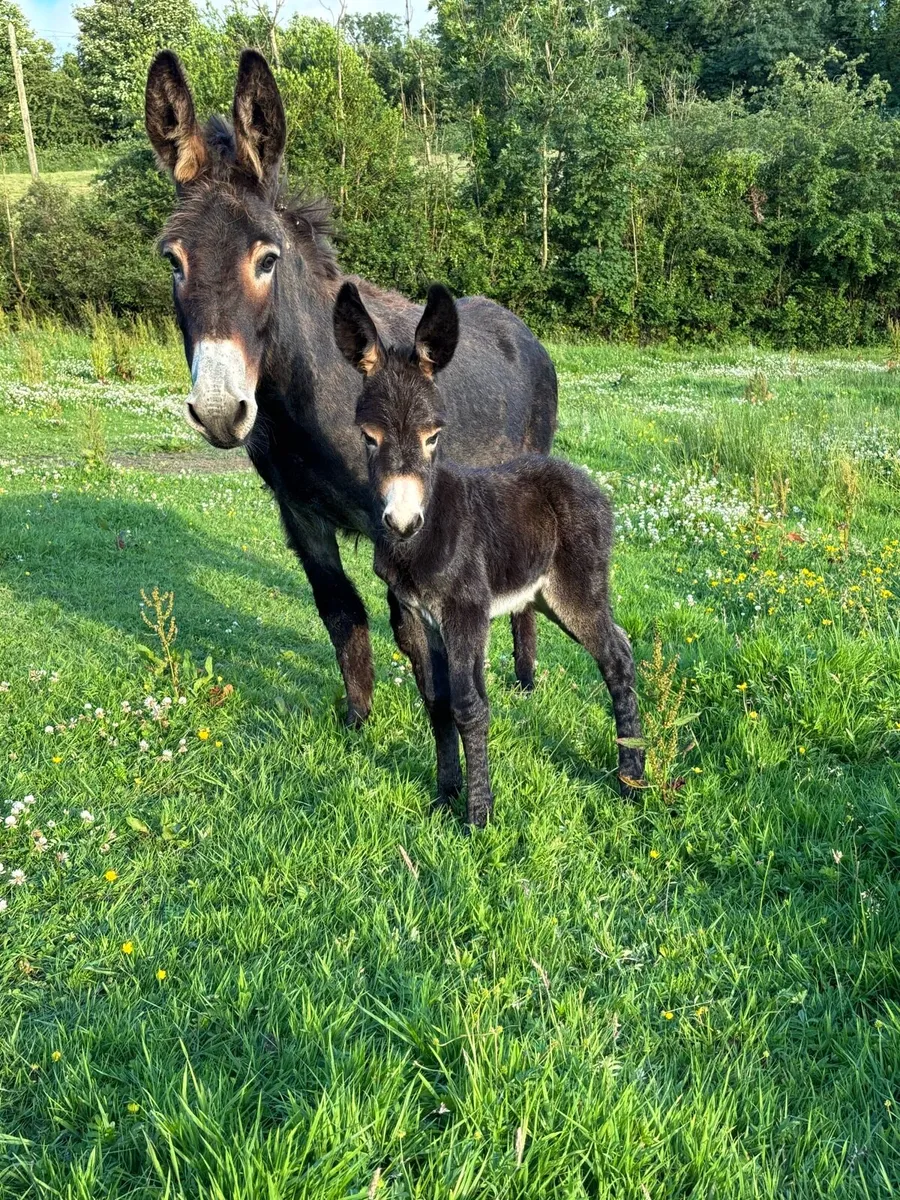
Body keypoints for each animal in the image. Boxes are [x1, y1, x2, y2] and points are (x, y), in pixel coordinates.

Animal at [144, 49, 558, 727]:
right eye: (173, 260)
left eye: (267, 259)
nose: (219, 410)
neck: (308, 400)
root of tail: (516, 323)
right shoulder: (300, 514)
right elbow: (341, 612)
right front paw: (358, 721)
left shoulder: (392, 513)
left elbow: (409, 630)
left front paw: (440, 723)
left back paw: (524, 679)